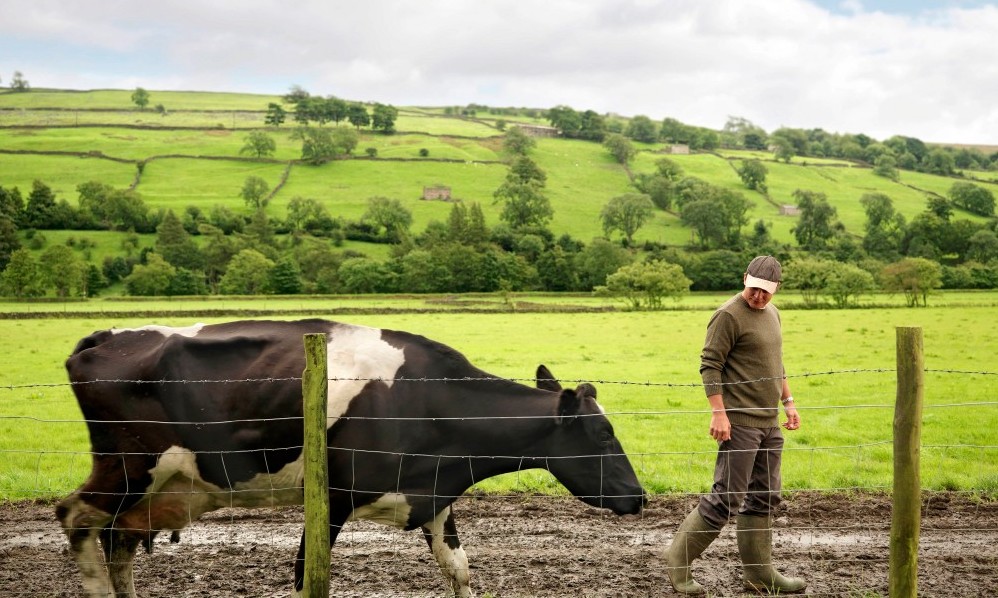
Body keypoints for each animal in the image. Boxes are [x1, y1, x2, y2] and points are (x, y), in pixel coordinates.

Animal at [56, 322, 648, 598]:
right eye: (602, 431)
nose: (639, 496)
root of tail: (106, 337)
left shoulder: (433, 497)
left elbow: (459, 571)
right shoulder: (334, 501)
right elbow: (304, 577)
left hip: (154, 489)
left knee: (118, 543)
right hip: (128, 467)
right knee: (76, 517)